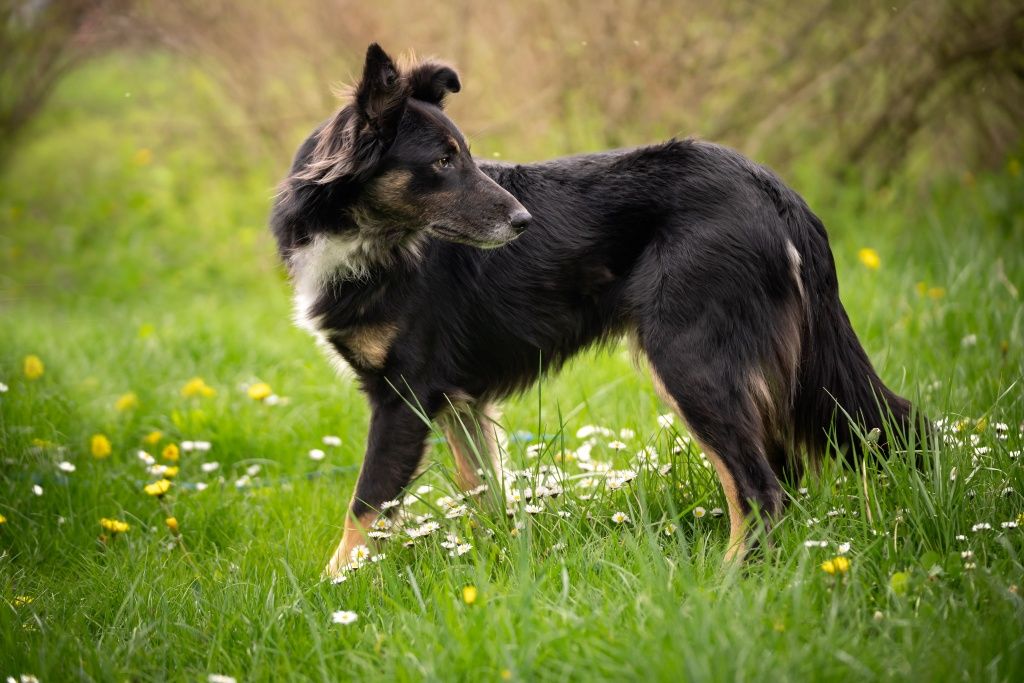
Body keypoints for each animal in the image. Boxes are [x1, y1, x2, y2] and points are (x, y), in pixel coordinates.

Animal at [268, 42, 917, 577]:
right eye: (445, 162)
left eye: (465, 156)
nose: (524, 221)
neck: (369, 237)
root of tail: (773, 188)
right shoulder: (458, 402)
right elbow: (484, 495)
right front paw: (494, 568)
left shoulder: (404, 399)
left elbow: (363, 508)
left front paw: (328, 593)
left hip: (690, 360)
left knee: (760, 489)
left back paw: (725, 583)